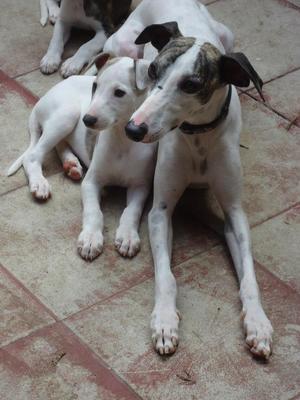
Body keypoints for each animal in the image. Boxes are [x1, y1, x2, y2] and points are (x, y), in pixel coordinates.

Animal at [7, 54, 157, 260]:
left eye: (119, 93)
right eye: (95, 86)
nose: (87, 120)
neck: (122, 141)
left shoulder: (141, 185)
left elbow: (131, 210)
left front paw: (127, 236)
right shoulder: (91, 182)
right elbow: (94, 211)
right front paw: (91, 239)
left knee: (60, 144)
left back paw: (71, 165)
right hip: (67, 114)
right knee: (32, 155)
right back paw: (40, 183)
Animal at [122, 0, 274, 358]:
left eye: (191, 85)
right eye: (154, 72)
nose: (133, 129)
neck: (199, 138)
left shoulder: (235, 214)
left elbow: (250, 279)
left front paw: (258, 323)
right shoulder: (160, 211)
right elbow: (166, 276)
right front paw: (164, 320)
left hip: (228, 35)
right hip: (125, 43)